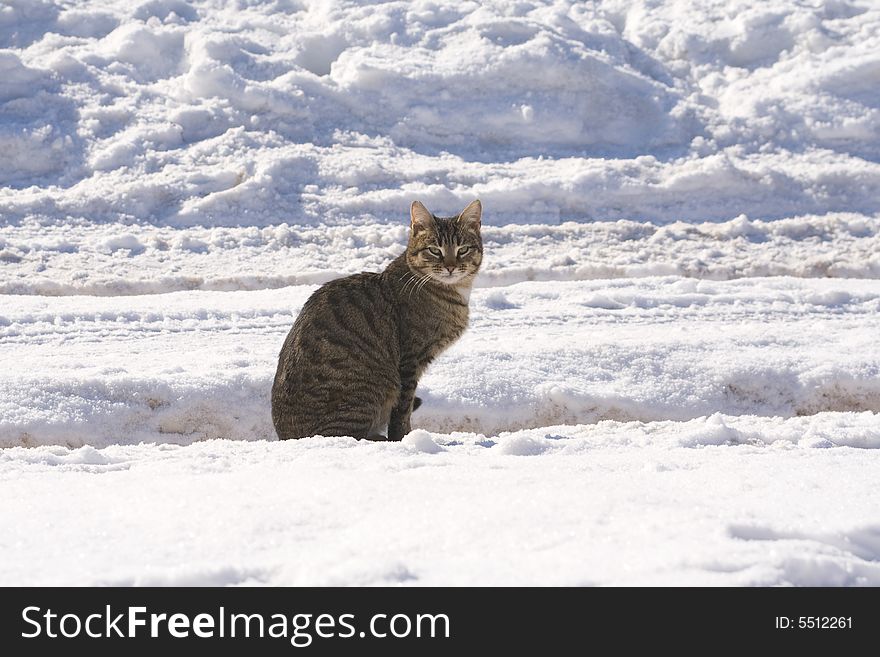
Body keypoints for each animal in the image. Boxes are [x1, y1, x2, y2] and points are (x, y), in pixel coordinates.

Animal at [272, 197, 484, 438]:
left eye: (463, 249)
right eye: (434, 250)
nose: (450, 267)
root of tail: (286, 436)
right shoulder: (410, 361)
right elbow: (402, 410)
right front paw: (405, 438)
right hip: (366, 392)